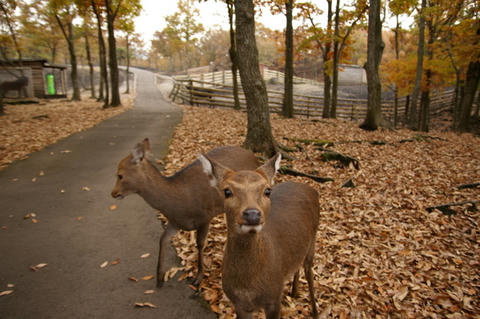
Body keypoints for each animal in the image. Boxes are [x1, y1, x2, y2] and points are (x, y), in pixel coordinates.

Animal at [111, 139, 260, 288]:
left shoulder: (205, 217)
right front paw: (160, 278)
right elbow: (162, 239)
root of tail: (255, 157)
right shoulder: (175, 222)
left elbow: (200, 244)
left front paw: (198, 278)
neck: (180, 204)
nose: (113, 193)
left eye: (120, 175)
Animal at [199, 154, 318, 318]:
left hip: (313, 239)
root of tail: (313, 190)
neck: (248, 289)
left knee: (309, 271)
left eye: (267, 191)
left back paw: (315, 311)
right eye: (227, 191)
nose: (252, 214)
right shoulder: (239, 304)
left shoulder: (275, 298)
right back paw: (294, 292)